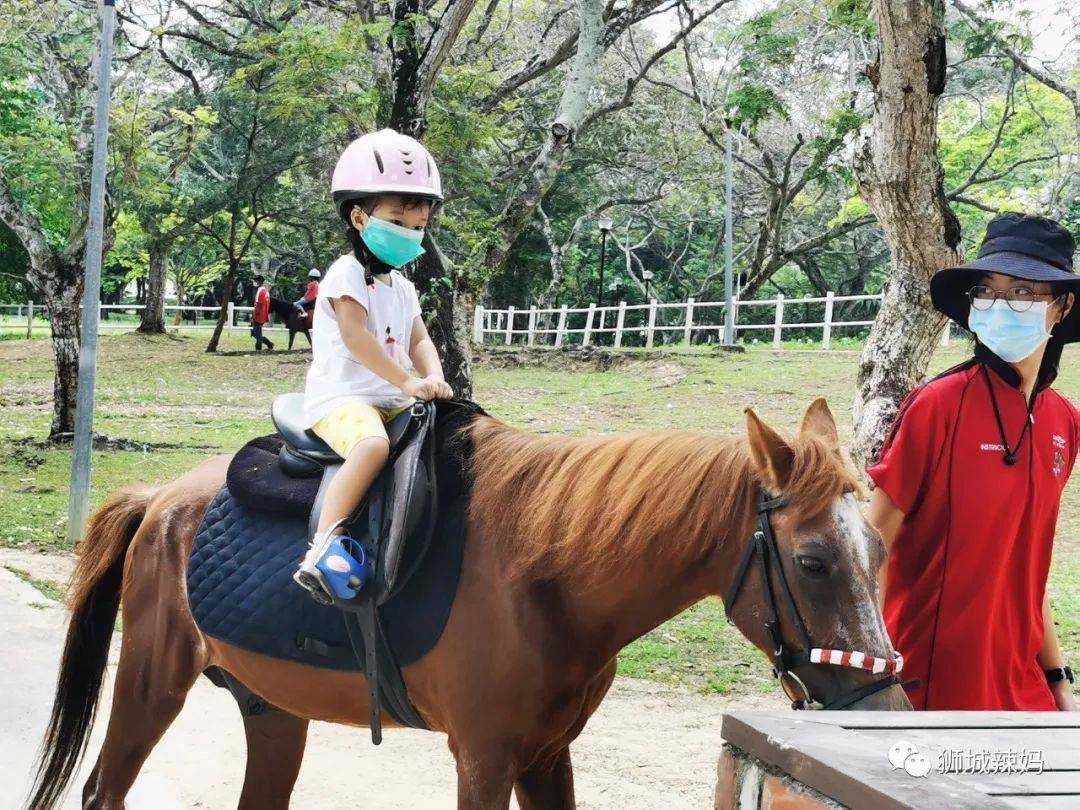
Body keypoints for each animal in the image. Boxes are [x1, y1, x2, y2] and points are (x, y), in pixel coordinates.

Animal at [28, 398, 910, 810]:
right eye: (813, 560)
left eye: (879, 548)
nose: (885, 709)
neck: (545, 575)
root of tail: (161, 498)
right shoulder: (483, 758)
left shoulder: (546, 756)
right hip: (150, 686)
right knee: (105, 791)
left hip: (272, 710)